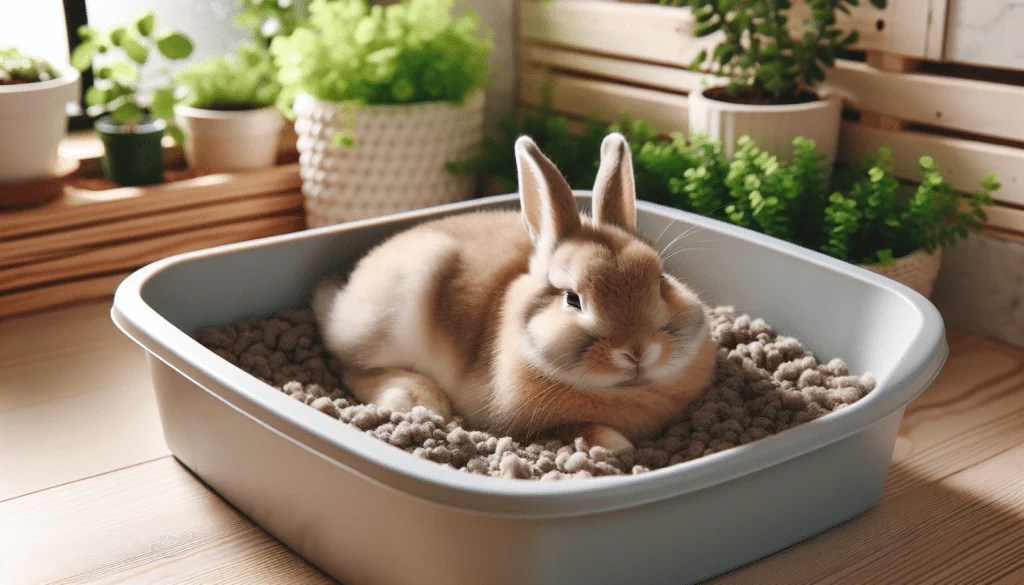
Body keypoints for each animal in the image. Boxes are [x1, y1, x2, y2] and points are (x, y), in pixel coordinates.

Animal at [315, 133, 717, 451]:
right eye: (572, 298)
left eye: (661, 280)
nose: (637, 351)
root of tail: (341, 298)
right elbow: (576, 429)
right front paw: (617, 445)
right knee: (350, 366)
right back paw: (418, 399)